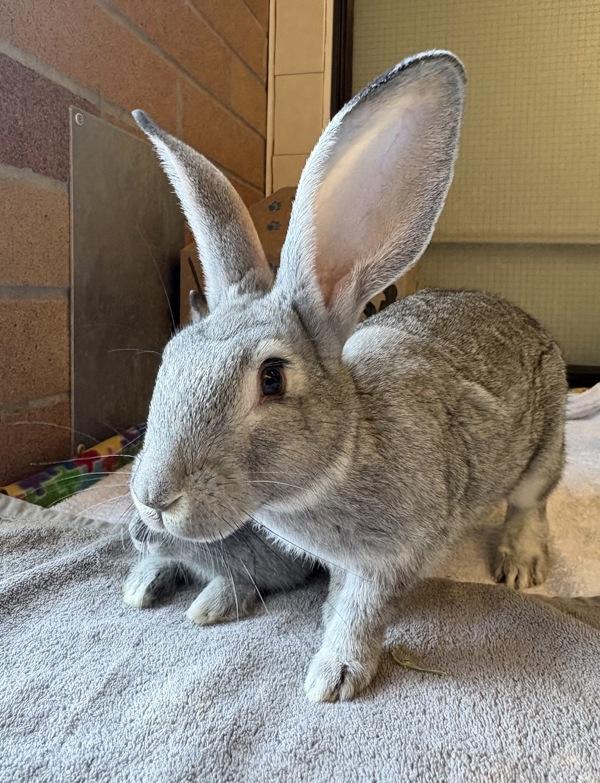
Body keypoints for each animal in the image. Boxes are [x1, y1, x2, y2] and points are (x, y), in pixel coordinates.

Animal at [129, 50, 566, 702]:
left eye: (272, 378)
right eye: (171, 356)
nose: (154, 501)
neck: (350, 447)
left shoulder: (391, 554)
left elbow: (364, 612)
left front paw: (333, 676)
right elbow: (341, 596)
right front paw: (328, 621)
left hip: (546, 444)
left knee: (530, 502)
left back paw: (520, 565)